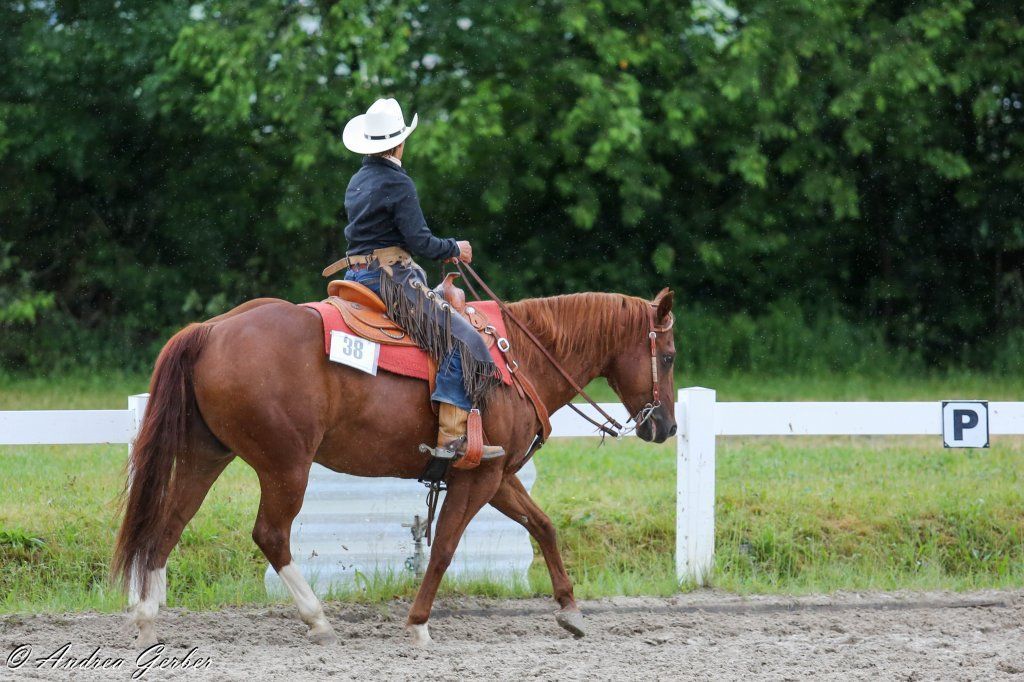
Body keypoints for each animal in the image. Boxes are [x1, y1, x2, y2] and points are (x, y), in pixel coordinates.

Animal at [112, 287, 677, 648]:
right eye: (669, 356)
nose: (666, 426)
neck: (518, 359)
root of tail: (211, 330)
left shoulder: (497, 476)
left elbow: (543, 525)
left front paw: (570, 611)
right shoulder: (479, 479)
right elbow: (445, 547)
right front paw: (419, 623)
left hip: (205, 455)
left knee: (170, 523)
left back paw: (146, 619)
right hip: (285, 466)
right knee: (270, 534)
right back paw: (318, 620)